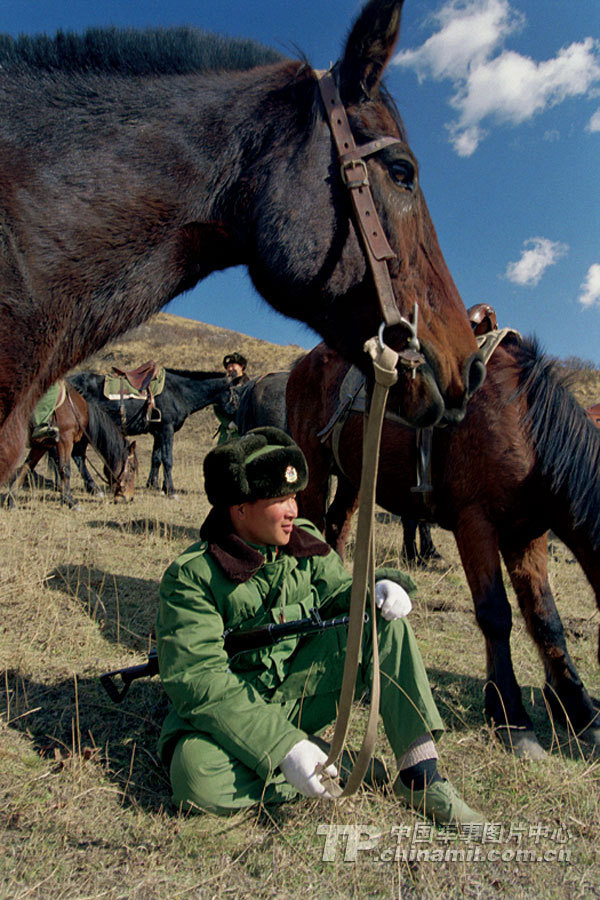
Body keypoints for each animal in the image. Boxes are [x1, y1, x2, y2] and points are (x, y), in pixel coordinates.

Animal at [7, 384, 137, 508]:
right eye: (131, 468)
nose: (130, 497)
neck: (75, 408)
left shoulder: (42, 445)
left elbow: (26, 468)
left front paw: (11, 500)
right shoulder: (65, 440)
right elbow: (65, 469)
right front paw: (71, 501)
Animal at [68, 369, 237, 497]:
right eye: (236, 395)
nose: (235, 424)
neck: (179, 391)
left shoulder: (159, 432)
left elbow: (156, 458)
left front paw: (156, 485)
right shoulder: (167, 429)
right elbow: (167, 459)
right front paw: (171, 491)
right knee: (77, 457)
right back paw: (93, 488)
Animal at [286, 337, 600, 758]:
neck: (523, 422)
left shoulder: (527, 535)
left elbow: (545, 618)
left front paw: (581, 711)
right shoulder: (475, 522)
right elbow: (496, 615)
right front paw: (512, 717)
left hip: (354, 476)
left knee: (336, 529)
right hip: (315, 470)